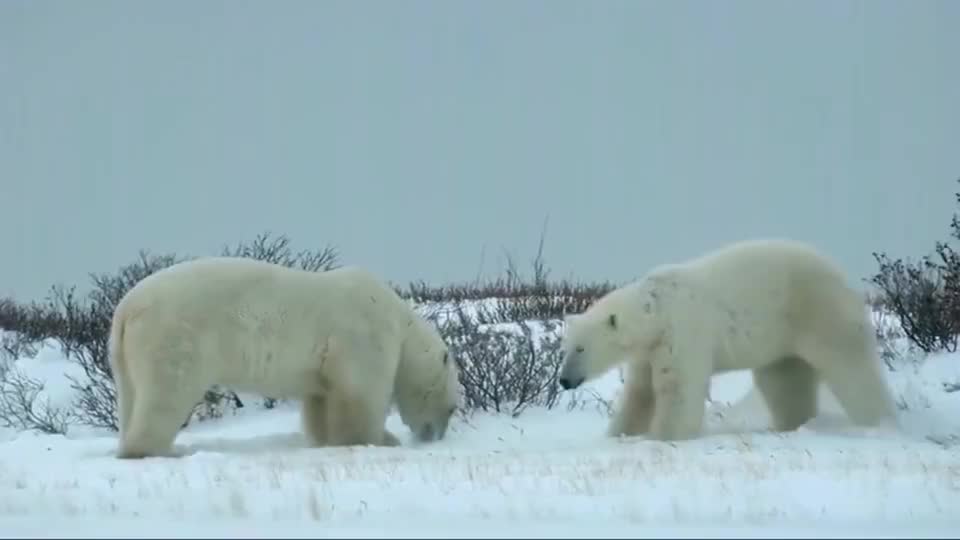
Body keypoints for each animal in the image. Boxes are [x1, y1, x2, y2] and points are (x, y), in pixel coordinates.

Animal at [109, 255, 462, 458]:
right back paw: (160, 450)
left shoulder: (324, 365)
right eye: (452, 408)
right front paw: (383, 440)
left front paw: (325, 439)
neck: (400, 322)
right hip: (175, 333)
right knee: (167, 392)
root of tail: (127, 308)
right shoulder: (363, 334)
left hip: (126, 353)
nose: (433, 437)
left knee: (131, 395)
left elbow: (322, 399)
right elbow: (361, 395)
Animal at [556, 238, 900, 440]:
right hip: (780, 339)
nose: (564, 380)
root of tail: (842, 274)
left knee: (850, 366)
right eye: (565, 348)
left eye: (581, 348)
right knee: (784, 380)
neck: (656, 308)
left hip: (818, 309)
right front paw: (620, 434)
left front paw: (665, 436)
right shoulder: (650, 348)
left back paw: (878, 422)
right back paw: (791, 425)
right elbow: (641, 392)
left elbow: (677, 387)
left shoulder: (683, 330)